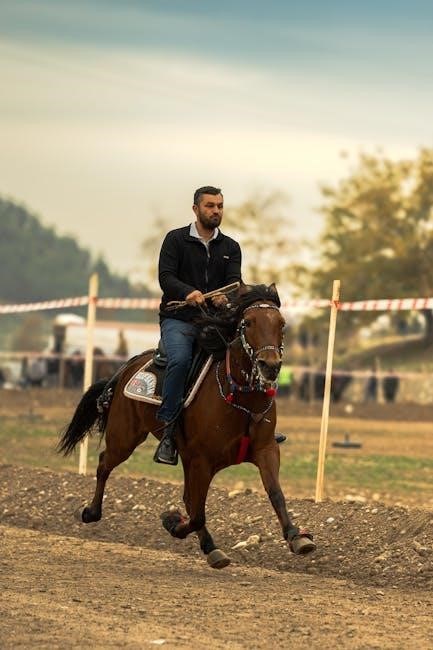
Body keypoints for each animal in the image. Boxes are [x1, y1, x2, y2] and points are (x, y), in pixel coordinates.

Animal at [58, 283, 316, 568]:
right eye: (247, 322)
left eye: (281, 324)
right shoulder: (203, 460)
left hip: (180, 453)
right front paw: (172, 522)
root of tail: (127, 367)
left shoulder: (265, 449)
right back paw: (90, 512)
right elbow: (197, 513)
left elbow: (275, 494)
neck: (240, 397)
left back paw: (210, 547)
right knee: (105, 463)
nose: (269, 366)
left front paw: (297, 537)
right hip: (124, 437)